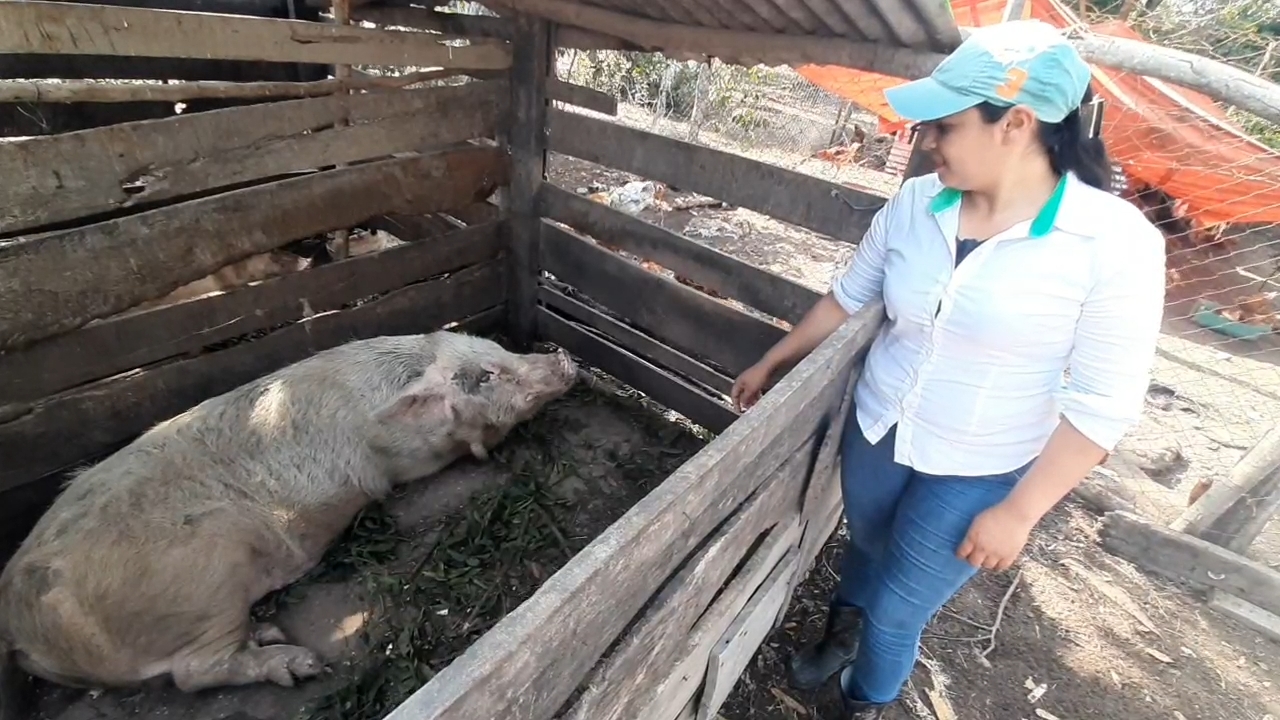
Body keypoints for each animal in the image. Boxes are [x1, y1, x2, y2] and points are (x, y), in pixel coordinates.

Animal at [0, 330, 576, 712]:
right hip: (209, 573)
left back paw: (269, 631)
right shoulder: (401, 464)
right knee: (192, 673)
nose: (563, 356)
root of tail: (19, 617)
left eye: (498, 351)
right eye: (485, 377)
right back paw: (301, 664)